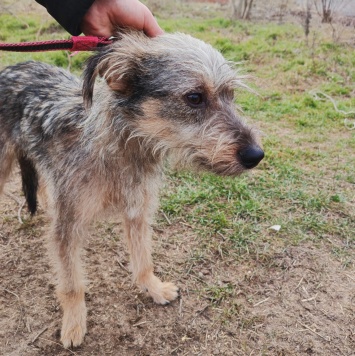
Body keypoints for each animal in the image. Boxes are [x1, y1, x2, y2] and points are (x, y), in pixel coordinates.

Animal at [0, 30, 264, 348]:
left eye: (230, 95)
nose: (256, 155)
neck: (121, 148)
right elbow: (72, 283)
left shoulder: (138, 211)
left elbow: (143, 260)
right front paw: (74, 323)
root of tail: (12, 67)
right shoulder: (68, 225)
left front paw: (154, 288)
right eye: (194, 97)